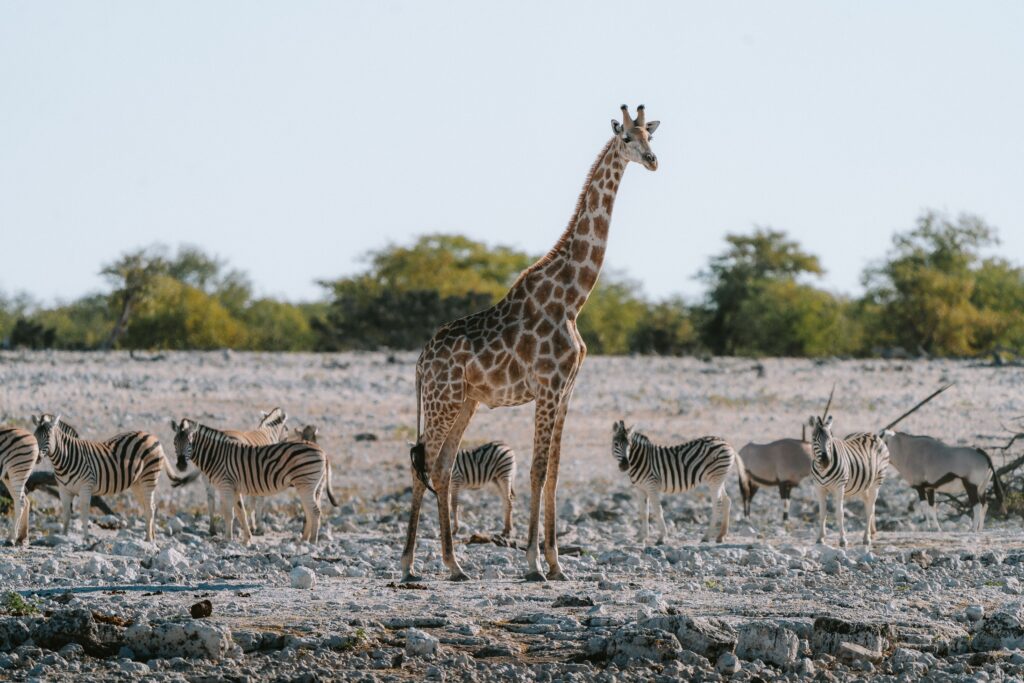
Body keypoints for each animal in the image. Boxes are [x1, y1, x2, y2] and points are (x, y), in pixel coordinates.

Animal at [32, 414, 182, 542]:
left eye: (48, 436)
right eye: (35, 435)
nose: (37, 457)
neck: (65, 459)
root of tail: (152, 436)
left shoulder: (86, 487)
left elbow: (84, 515)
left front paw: (86, 539)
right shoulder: (64, 490)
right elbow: (66, 515)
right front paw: (62, 536)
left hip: (149, 477)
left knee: (150, 508)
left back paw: (149, 539)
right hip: (137, 483)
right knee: (149, 506)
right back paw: (150, 536)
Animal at [169, 418, 334, 544]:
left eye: (190, 442)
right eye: (174, 443)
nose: (181, 465)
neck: (216, 456)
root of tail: (322, 451)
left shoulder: (225, 486)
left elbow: (229, 514)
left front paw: (227, 540)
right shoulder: (234, 488)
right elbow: (241, 513)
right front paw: (246, 540)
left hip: (306, 485)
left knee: (315, 511)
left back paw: (312, 541)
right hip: (312, 487)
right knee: (310, 511)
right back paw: (303, 540)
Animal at [402, 105, 660, 582]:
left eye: (650, 137)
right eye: (627, 139)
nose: (653, 161)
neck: (573, 299)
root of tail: (420, 362)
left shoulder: (566, 390)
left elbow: (555, 471)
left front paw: (557, 564)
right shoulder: (547, 387)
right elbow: (538, 471)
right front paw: (533, 563)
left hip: (465, 401)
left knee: (442, 467)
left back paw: (454, 564)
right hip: (441, 399)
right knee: (422, 462)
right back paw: (409, 565)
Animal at [807, 414, 891, 548]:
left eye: (830, 438)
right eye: (814, 438)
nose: (826, 461)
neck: (823, 470)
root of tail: (874, 434)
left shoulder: (839, 487)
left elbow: (839, 513)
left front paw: (843, 540)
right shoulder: (819, 488)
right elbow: (822, 513)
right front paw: (820, 538)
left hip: (877, 482)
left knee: (870, 509)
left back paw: (866, 538)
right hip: (863, 486)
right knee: (868, 504)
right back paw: (871, 532)